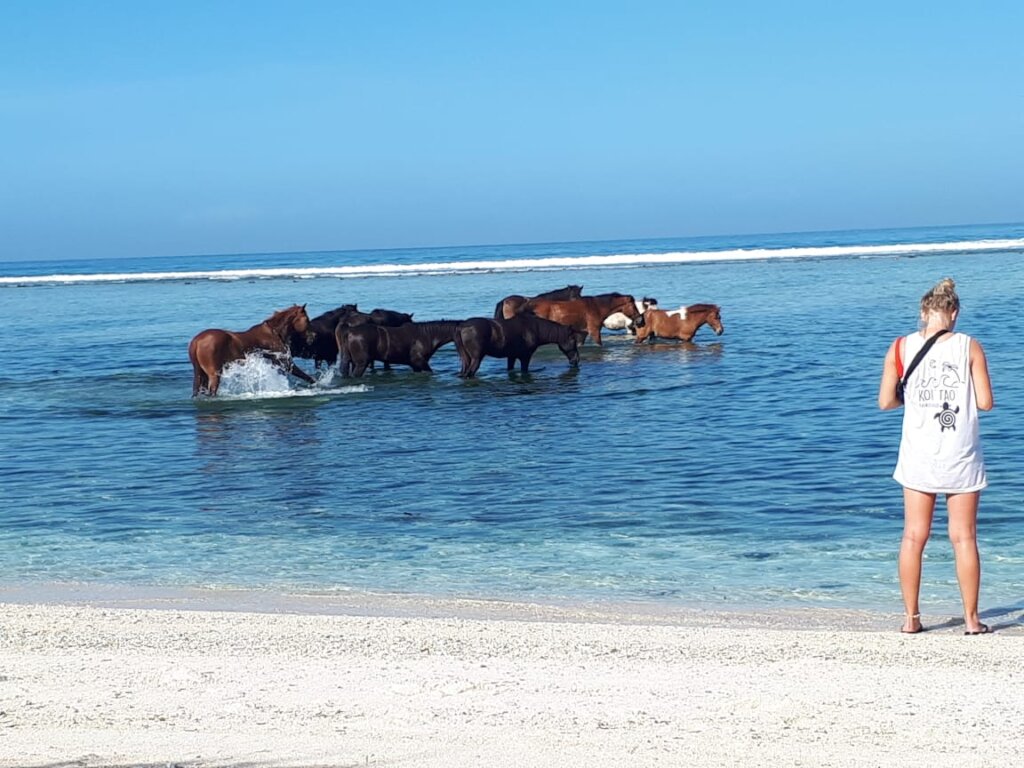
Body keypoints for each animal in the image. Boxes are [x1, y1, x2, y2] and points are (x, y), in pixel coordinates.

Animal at [454, 314, 587, 378]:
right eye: (573, 341)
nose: (576, 360)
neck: (535, 329)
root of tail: (462, 326)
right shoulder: (525, 357)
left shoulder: (511, 356)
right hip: (476, 358)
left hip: (466, 359)